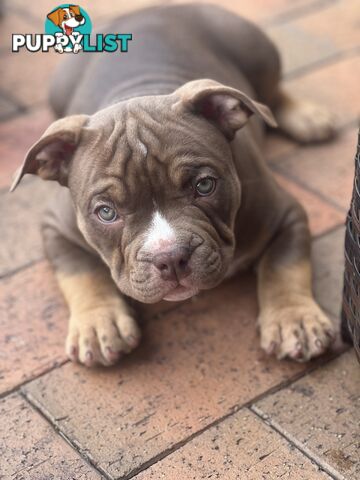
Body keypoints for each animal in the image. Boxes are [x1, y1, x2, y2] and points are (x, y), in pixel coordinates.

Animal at [11, 3, 338, 368]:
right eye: (106, 213)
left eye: (205, 186)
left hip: (257, 52)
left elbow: (285, 265)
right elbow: (80, 272)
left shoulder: (286, 214)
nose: (170, 257)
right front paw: (98, 323)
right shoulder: (57, 226)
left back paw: (307, 117)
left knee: (270, 95)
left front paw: (295, 319)